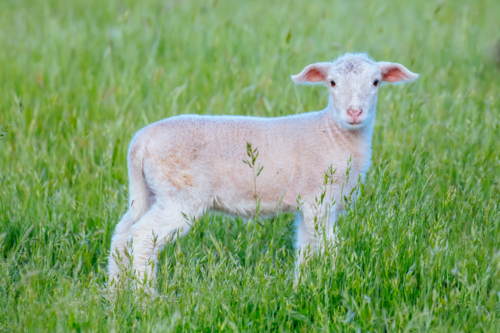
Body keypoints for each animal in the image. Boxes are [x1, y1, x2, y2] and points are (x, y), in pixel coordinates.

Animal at [108, 52, 418, 290]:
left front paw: (301, 290)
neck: (333, 134)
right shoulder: (319, 201)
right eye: (332, 82)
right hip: (181, 196)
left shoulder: (310, 204)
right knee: (143, 236)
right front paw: (340, 281)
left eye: (376, 82)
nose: (354, 112)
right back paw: (146, 299)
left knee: (122, 234)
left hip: (150, 190)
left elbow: (305, 250)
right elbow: (330, 248)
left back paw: (114, 295)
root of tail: (139, 142)